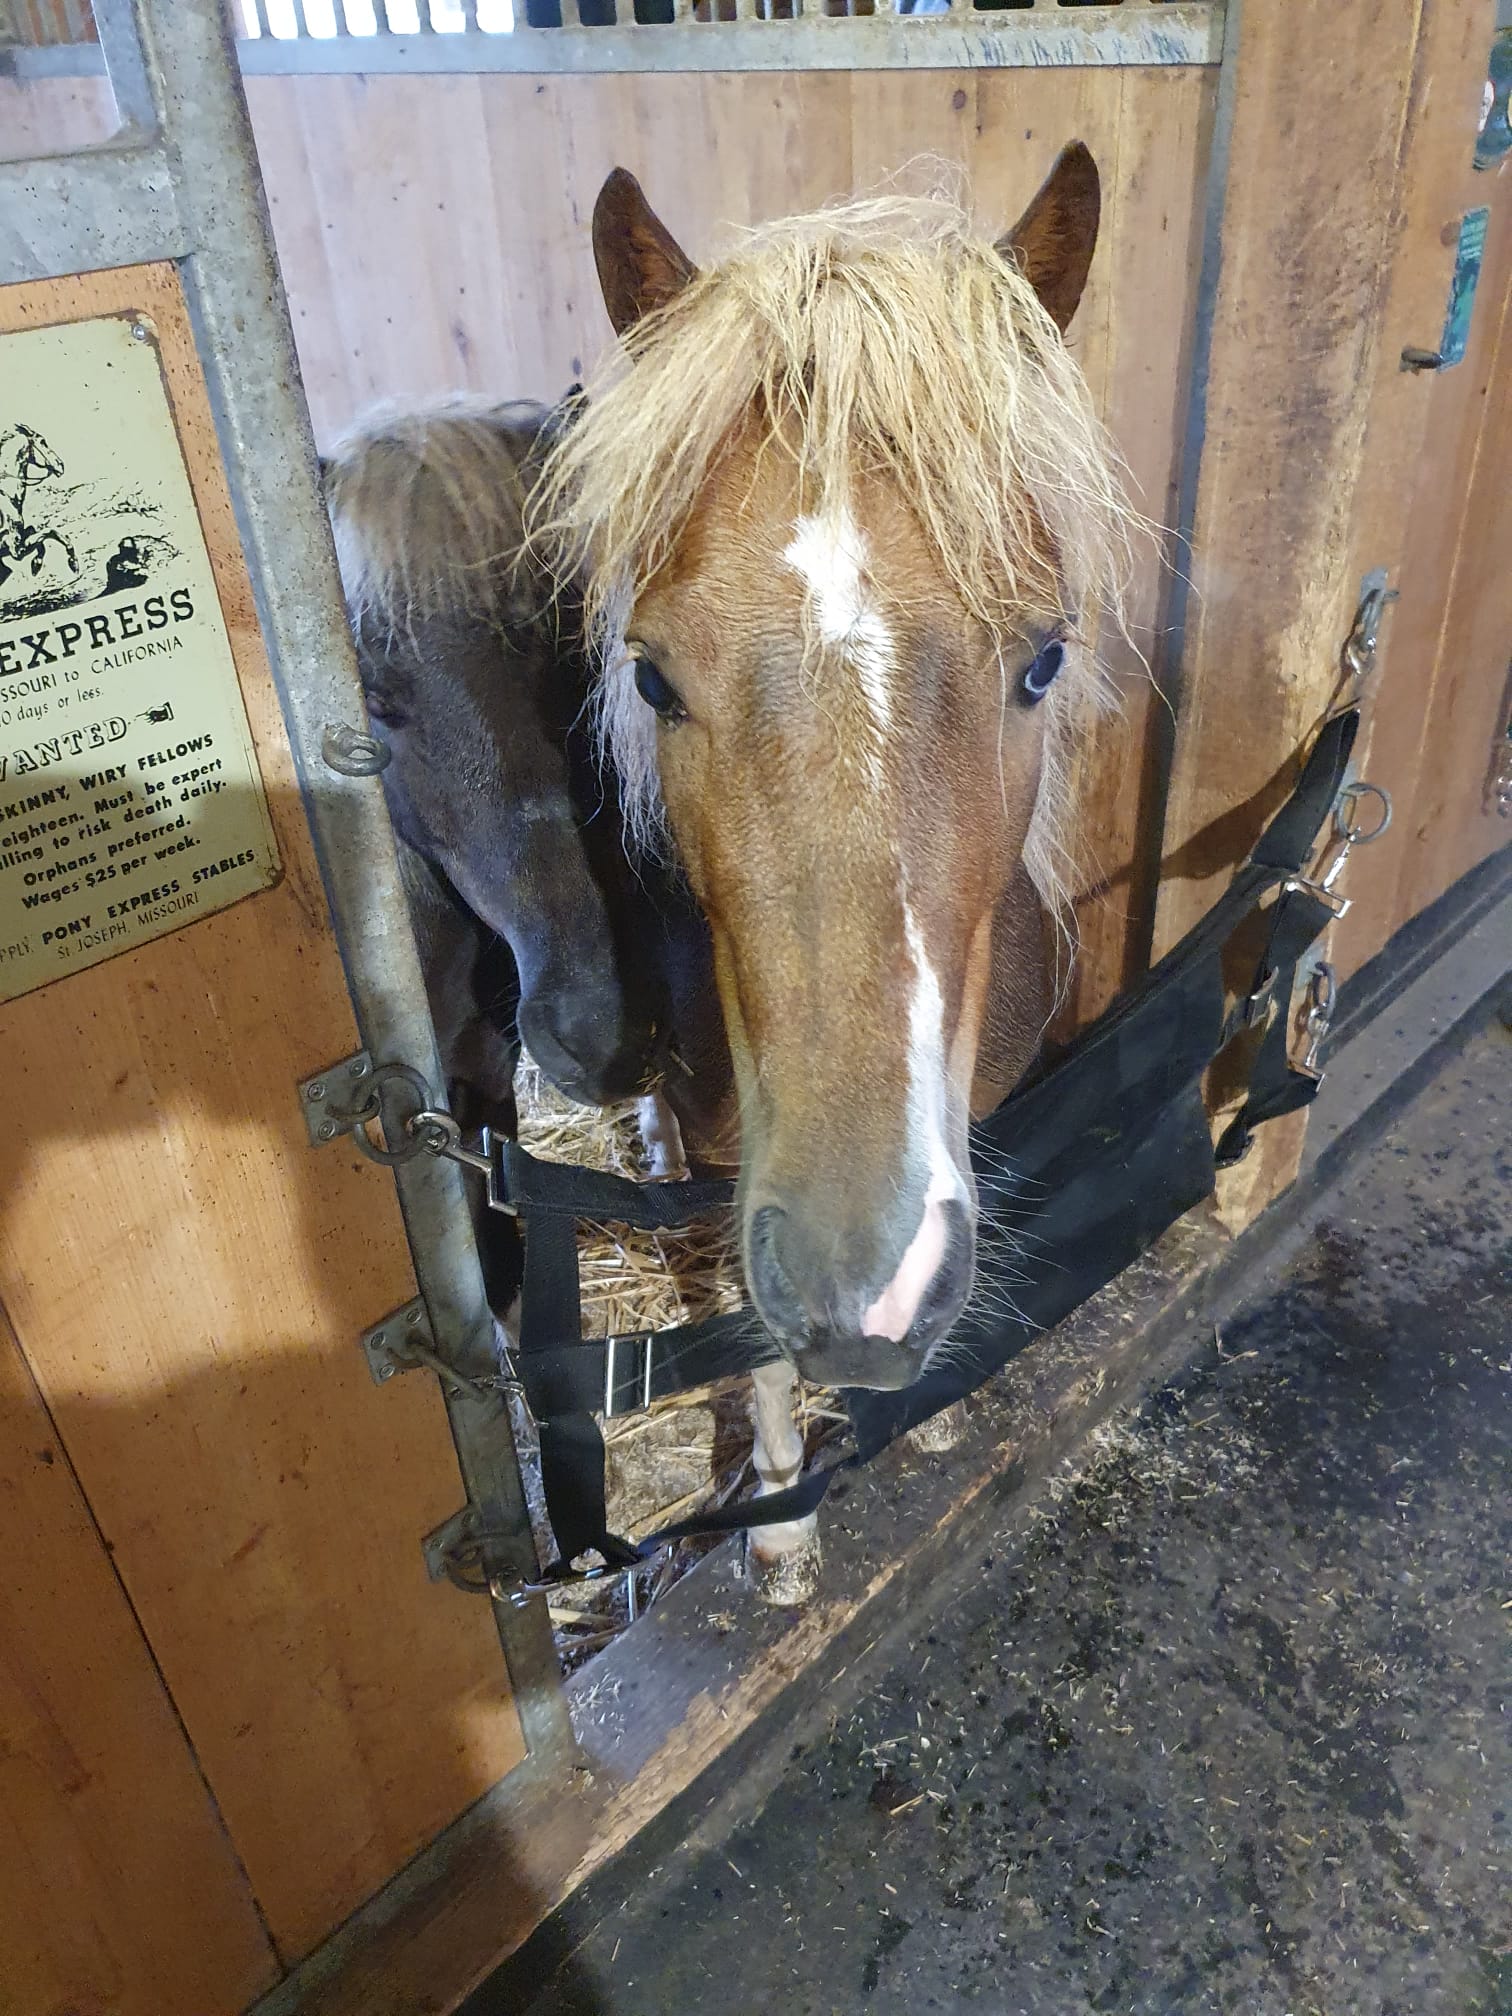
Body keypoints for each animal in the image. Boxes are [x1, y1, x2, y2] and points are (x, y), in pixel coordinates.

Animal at [533, 145, 1136, 1593]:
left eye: (1044, 659)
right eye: (652, 677)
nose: (864, 1297)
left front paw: (933, 1416)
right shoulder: (742, 1164)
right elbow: (753, 1349)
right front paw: (784, 1528)